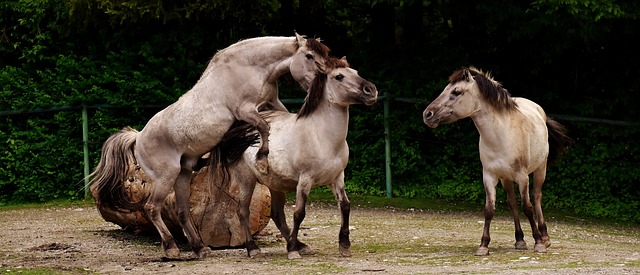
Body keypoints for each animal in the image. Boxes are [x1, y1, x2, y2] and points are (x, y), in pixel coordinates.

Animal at [87, 33, 330, 260]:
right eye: (309, 56)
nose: (320, 84)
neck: (249, 66)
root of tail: (138, 137)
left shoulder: (271, 102)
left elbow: (281, 119)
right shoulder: (246, 110)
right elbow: (264, 127)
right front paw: (262, 159)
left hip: (182, 175)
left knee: (182, 211)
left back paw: (200, 248)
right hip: (166, 176)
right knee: (152, 208)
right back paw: (172, 248)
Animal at [210, 56, 380, 260]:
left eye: (355, 72)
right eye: (339, 76)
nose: (371, 90)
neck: (322, 137)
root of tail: (241, 128)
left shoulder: (338, 178)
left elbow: (345, 206)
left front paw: (344, 246)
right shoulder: (305, 180)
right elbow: (299, 213)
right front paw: (292, 251)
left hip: (275, 184)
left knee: (277, 214)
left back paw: (301, 245)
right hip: (246, 180)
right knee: (242, 211)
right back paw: (254, 249)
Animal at [422, 66, 572, 256]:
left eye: (456, 92)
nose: (427, 114)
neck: (501, 135)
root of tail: (539, 110)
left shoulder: (523, 177)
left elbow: (527, 207)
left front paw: (538, 243)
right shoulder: (489, 176)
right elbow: (489, 210)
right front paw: (483, 245)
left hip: (540, 169)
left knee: (536, 197)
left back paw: (544, 237)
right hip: (506, 178)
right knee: (512, 203)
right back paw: (520, 240)